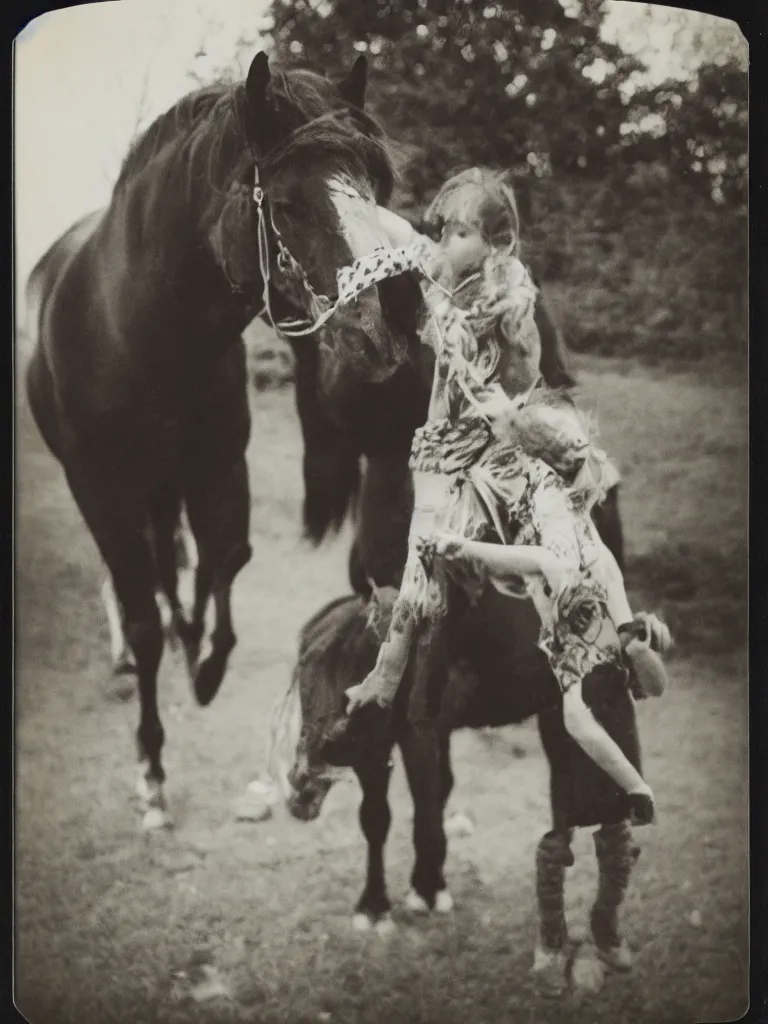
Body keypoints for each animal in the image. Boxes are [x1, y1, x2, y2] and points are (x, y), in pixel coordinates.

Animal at [25, 49, 415, 831]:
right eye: (289, 204)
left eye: (375, 186)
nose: (393, 323)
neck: (136, 328)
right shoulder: (102, 489)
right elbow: (144, 612)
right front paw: (150, 771)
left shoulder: (215, 465)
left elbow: (226, 559)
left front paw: (205, 662)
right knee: (139, 580)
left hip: (167, 481)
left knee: (177, 560)